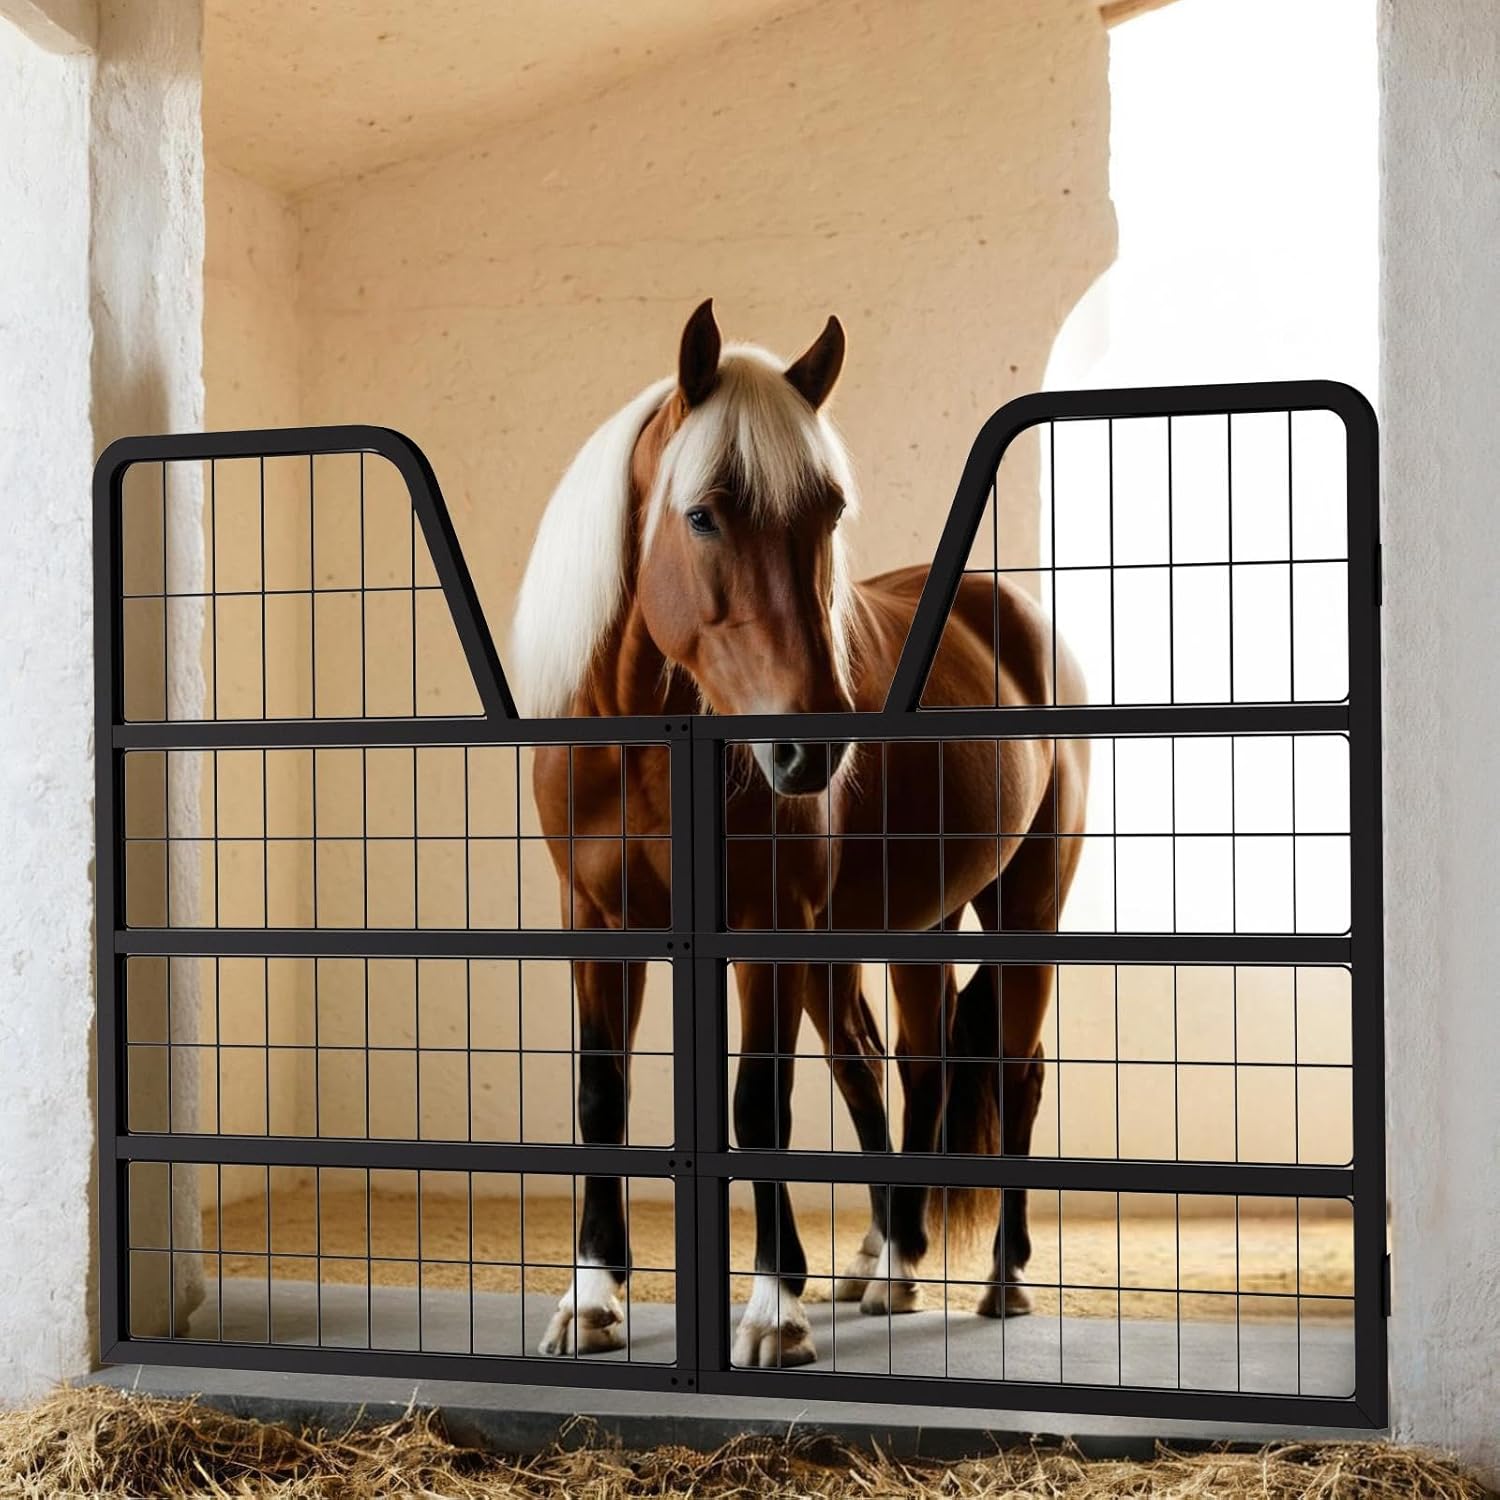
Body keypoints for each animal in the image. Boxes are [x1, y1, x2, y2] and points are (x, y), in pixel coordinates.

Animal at [510, 300, 1088, 1368]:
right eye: (702, 514)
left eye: (828, 512)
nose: (811, 748)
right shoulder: (598, 924)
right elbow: (601, 1096)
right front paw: (592, 1298)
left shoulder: (765, 926)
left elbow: (758, 1106)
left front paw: (774, 1311)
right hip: (903, 930)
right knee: (904, 1065)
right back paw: (888, 1261)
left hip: (1026, 903)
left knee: (1016, 1072)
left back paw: (1002, 1278)